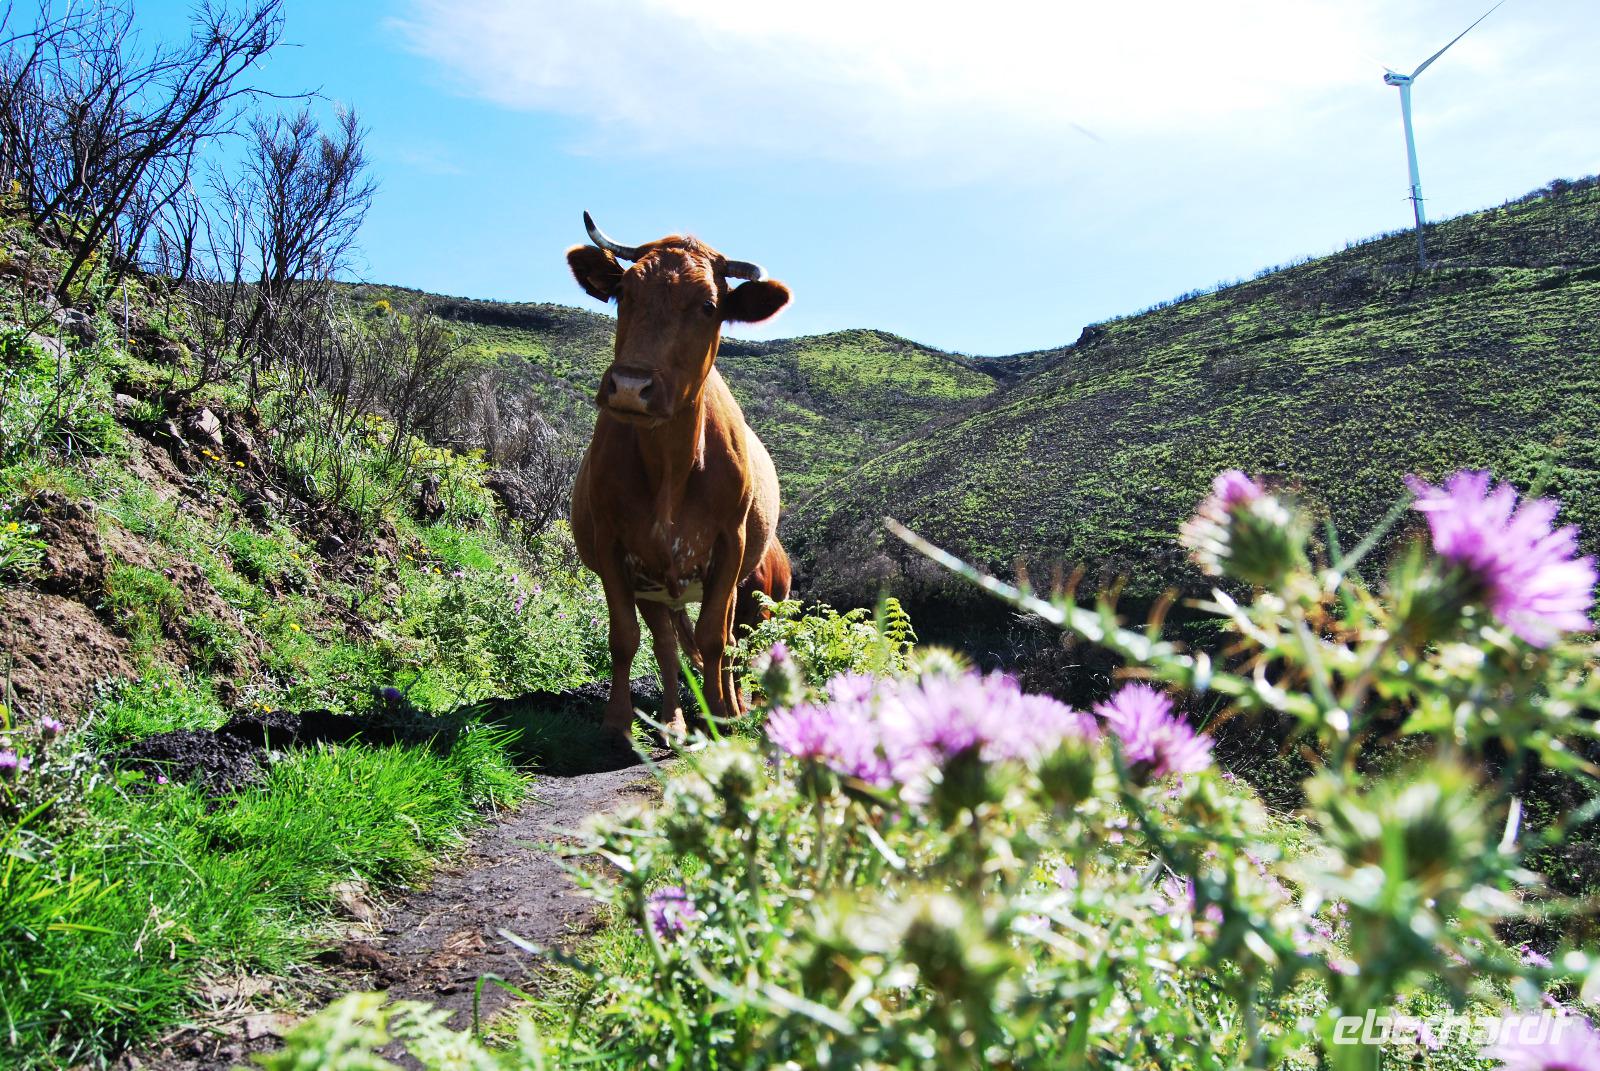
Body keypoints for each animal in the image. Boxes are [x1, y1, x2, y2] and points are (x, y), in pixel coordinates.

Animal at [566, 213, 792, 738]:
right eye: (625, 291)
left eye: (709, 306)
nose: (631, 387)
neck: (670, 466)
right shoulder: (612, 545)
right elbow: (624, 637)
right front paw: (617, 720)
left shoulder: (729, 546)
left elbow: (713, 639)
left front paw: (718, 720)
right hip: (656, 585)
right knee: (667, 646)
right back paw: (672, 719)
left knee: (725, 641)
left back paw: (727, 707)